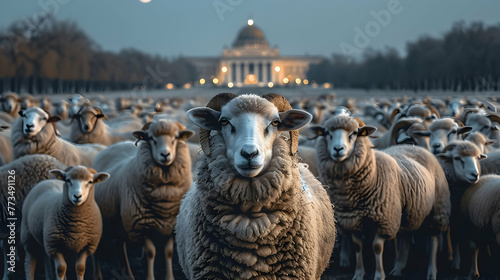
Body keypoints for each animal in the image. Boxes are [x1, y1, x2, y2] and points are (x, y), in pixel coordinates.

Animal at [92, 118, 193, 280]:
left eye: (175, 138)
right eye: (151, 139)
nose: (165, 154)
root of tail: (112, 146)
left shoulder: (171, 227)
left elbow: (169, 252)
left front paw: (170, 277)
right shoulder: (142, 227)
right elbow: (151, 253)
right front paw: (150, 277)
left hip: (119, 223)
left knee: (119, 245)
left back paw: (127, 275)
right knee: (96, 250)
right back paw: (97, 275)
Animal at [310, 114, 452, 280]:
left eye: (354, 133)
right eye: (327, 133)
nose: (338, 149)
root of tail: (417, 148)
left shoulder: (385, 220)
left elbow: (377, 247)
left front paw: (379, 275)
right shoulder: (353, 221)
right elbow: (357, 246)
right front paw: (358, 274)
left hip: (438, 209)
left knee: (433, 239)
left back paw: (431, 271)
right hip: (411, 210)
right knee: (405, 236)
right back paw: (398, 268)